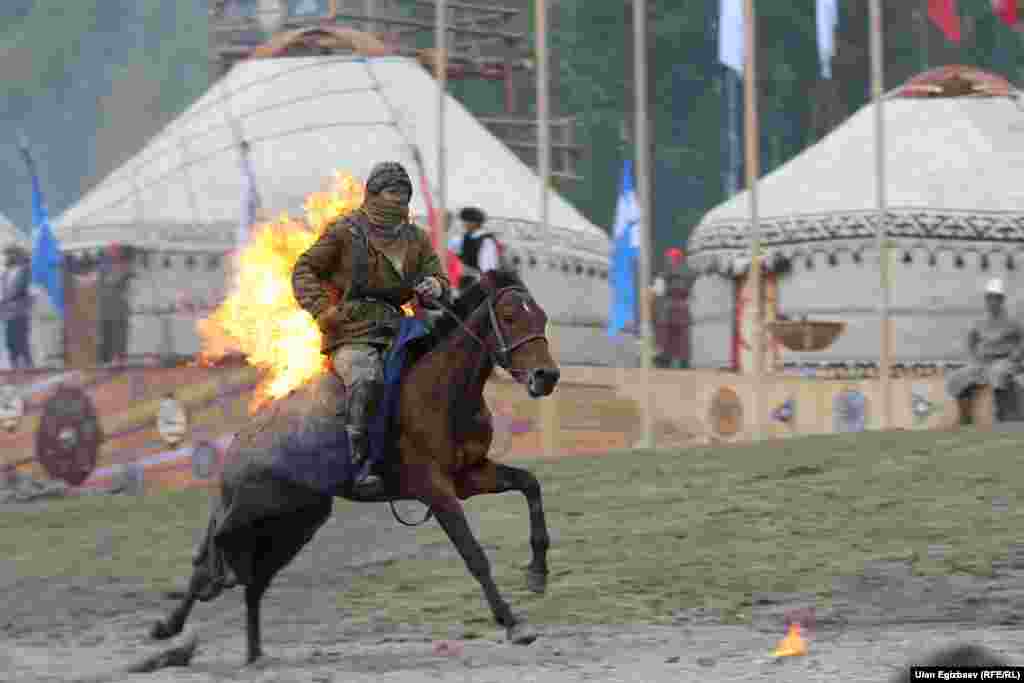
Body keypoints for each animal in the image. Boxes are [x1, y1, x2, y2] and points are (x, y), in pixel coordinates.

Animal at [149, 270, 561, 663]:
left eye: (540, 317)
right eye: (509, 317)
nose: (547, 376)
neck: (443, 391)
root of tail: (239, 441)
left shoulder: (469, 476)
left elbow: (530, 484)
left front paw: (538, 572)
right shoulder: (435, 489)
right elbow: (474, 554)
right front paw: (512, 622)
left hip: (297, 520)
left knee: (251, 579)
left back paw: (251, 653)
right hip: (257, 510)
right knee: (214, 554)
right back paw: (171, 626)